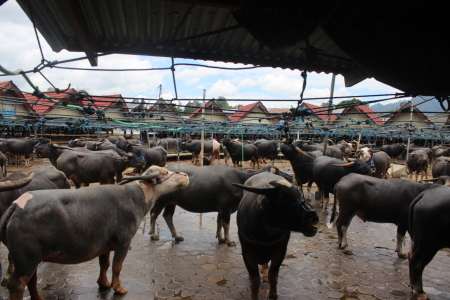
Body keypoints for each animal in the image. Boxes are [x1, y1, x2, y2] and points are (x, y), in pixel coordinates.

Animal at [150, 164, 284, 246]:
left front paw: (221, 238)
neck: (240, 180)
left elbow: (219, 223)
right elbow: (226, 224)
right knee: (153, 215)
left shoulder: (221, 209)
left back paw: (177, 236)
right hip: (160, 201)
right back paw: (153, 235)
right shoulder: (226, 207)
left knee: (167, 216)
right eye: (277, 172)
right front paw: (229, 241)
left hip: (171, 203)